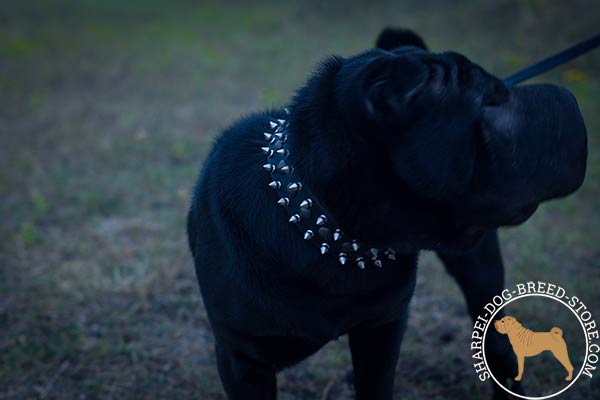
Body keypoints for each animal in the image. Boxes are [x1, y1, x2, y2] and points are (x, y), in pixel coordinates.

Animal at [188, 28, 584, 400]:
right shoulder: (243, 361)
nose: (570, 100)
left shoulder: (381, 331)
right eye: (491, 104)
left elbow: (376, 386)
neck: (331, 233)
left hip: (479, 270)